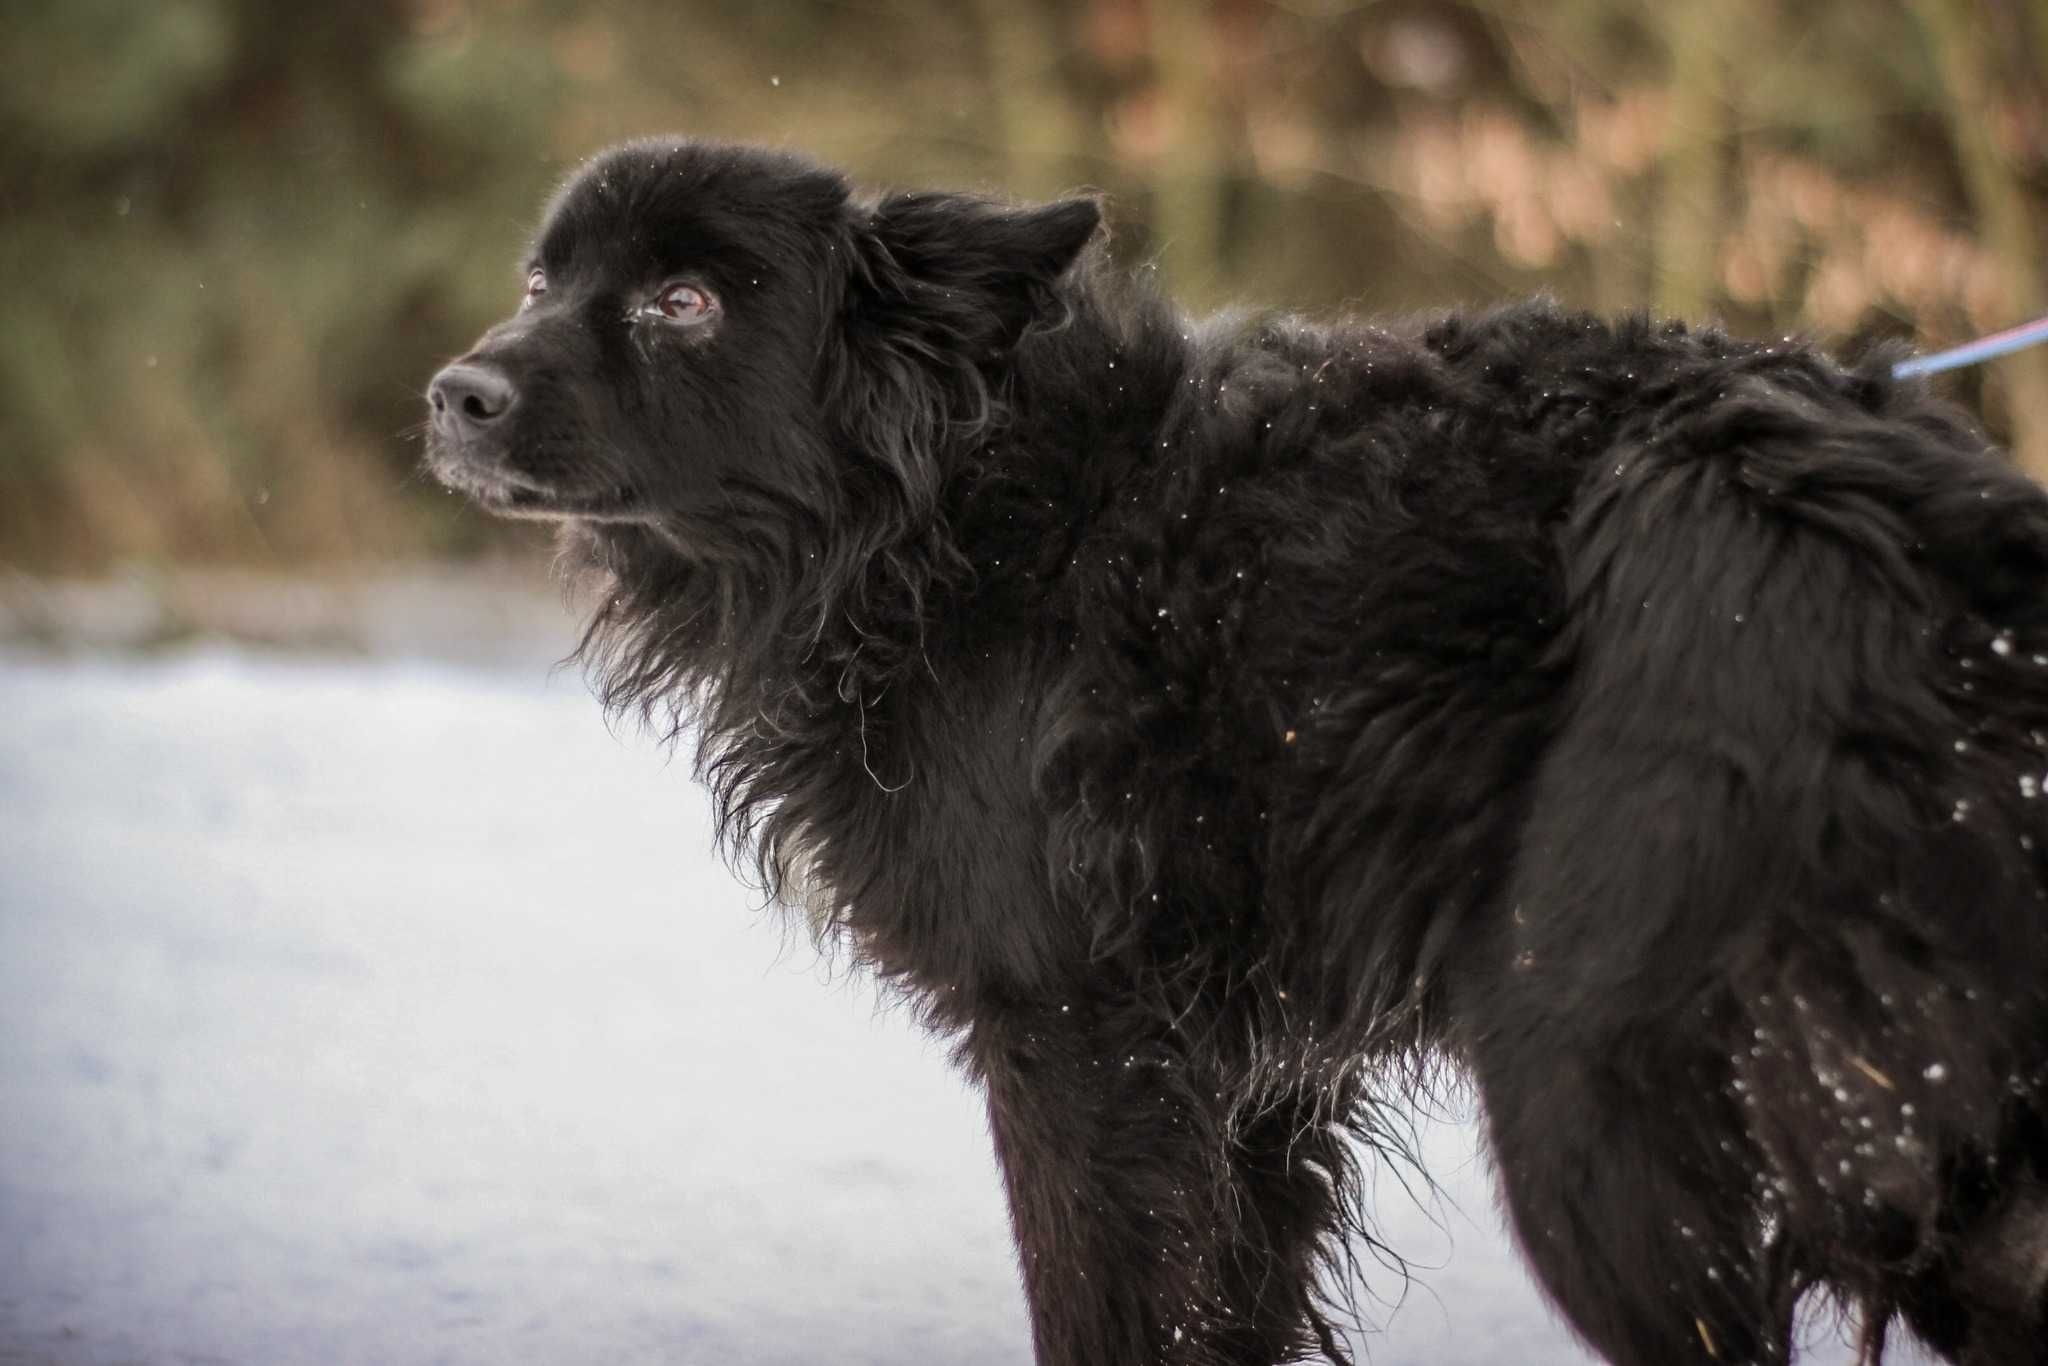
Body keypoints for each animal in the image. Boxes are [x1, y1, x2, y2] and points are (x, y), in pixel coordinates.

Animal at [428, 141, 2048, 1366]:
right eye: (541, 283)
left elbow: (1112, 1319)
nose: (457, 394)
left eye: (683, 300)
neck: (956, 510)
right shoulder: (1252, 1090)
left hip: (1602, 1115)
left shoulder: (1080, 1041)